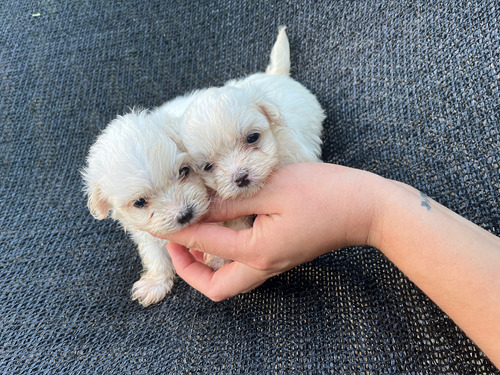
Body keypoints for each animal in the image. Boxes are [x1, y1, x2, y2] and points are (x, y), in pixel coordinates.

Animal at [82, 92, 209, 306]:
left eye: (184, 171)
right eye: (139, 202)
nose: (185, 214)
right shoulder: (145, 232)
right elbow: (154, 253)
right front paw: (155, 283)